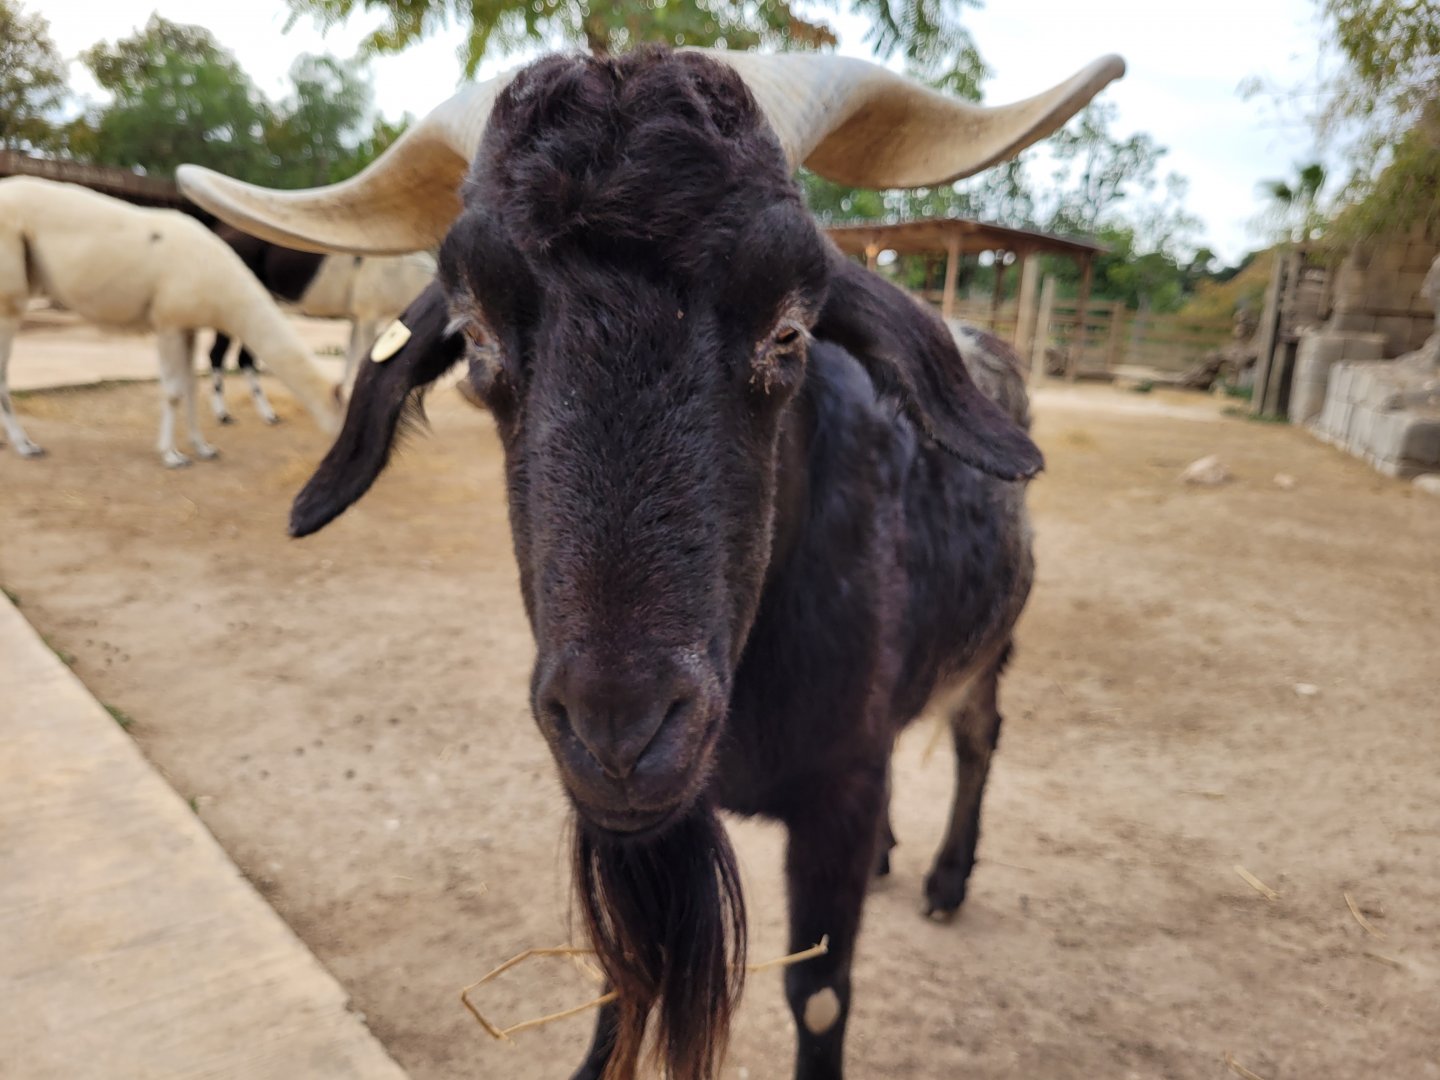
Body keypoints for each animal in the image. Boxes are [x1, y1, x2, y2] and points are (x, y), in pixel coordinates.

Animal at [0, 177, 340, 464]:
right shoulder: (169, 322)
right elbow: (173, 390)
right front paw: (172, 455)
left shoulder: (188, 326)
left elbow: (190, 386)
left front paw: (204, 448)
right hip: (9, 294)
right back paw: (26, 446)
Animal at [207, 223, 433, 424]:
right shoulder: (368, 314)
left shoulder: (357, 318)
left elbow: (350, 361)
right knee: (218, 354)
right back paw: (224, 415)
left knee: (243, 358)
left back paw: (269, 416)